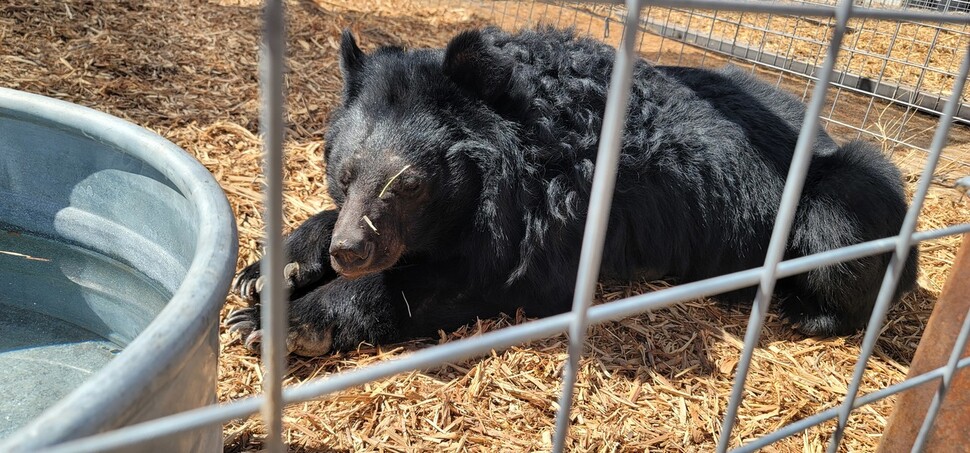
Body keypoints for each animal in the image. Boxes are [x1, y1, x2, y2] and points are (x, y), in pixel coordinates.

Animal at [225, 26, 916, 356]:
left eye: (411, 185)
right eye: (342, 171)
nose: (349, 253)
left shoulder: (558, 222)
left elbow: (462, 280)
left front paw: (277, 323)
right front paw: (267, 274)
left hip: (838, 197)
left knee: (840, 237)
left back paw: (803, 312)